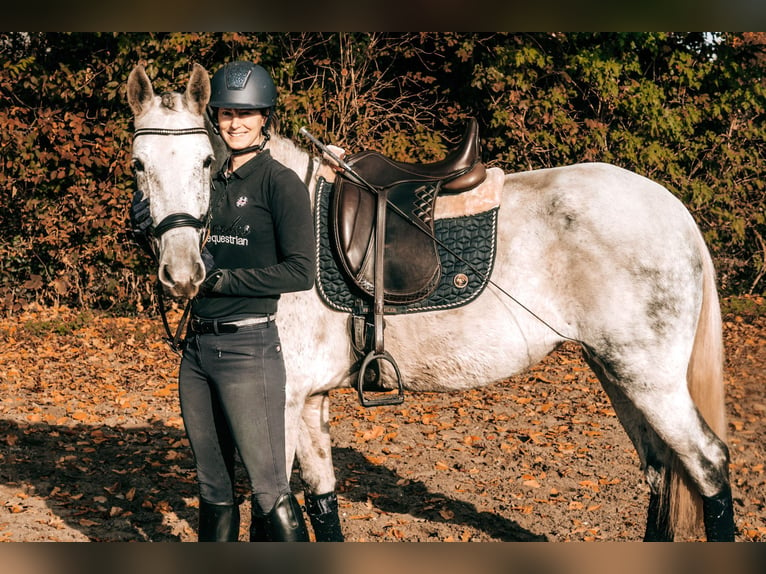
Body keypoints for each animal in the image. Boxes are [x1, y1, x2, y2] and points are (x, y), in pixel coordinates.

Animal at [127, 65, 736, 544]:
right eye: (138, 163)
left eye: (206, 162)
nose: (182, 274)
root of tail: (674, 211)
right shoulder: (307, 398)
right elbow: (321, 501)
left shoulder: (280, 399)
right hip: (615, 371)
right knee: (661, 471)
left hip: (647, 376)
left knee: (707, 465)